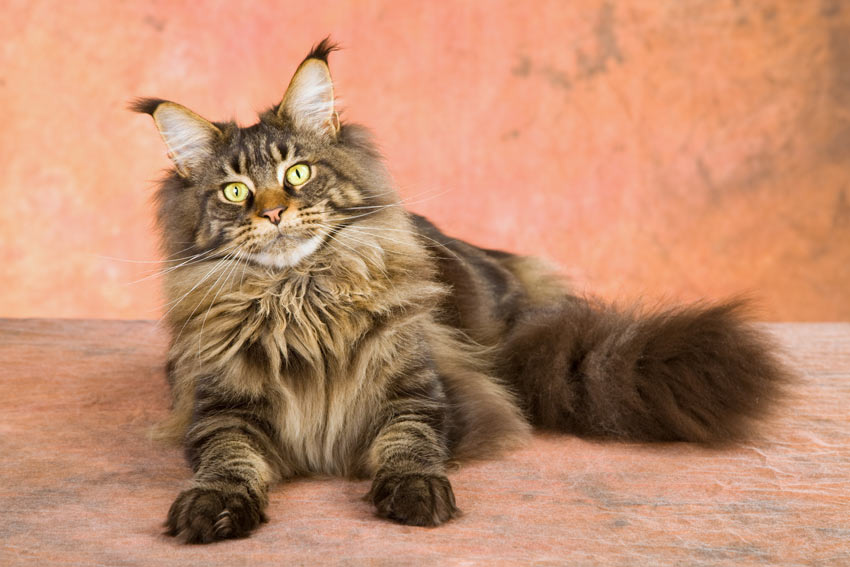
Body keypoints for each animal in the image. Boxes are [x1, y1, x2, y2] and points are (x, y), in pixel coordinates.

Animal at [132, 37, 788, 544]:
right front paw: (213, 504)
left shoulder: (420, 391)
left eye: (298, 173)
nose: (271, 213)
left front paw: (416, 491)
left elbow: (409, 441)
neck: (301, 296)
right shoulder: (219, 410)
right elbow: (228, 458)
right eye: (236, 191)